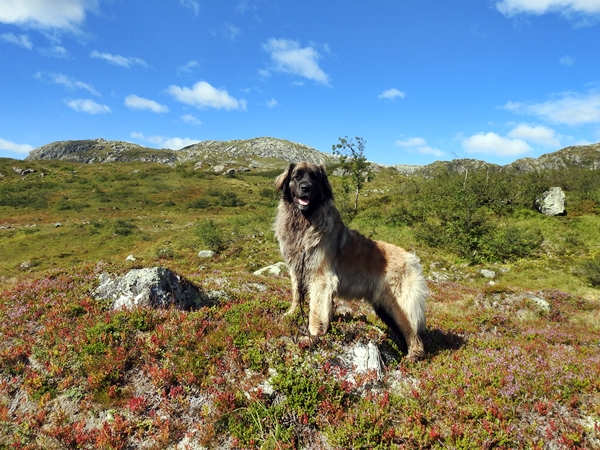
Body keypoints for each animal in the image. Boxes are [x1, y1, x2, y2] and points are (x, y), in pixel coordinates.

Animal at [274, 162, 428, 358]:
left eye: (314, 178)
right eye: (297, 177)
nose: (305, 188)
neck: (304, 222)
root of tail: (412, 258)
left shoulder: (321, 277)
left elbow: (315, 309)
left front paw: (313, 334)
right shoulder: (296, 269)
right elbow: (297, 294)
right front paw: (291, 314)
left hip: (400, 306)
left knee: (413, 334)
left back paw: (412, 357)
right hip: (385, 307)